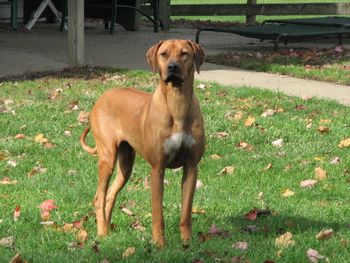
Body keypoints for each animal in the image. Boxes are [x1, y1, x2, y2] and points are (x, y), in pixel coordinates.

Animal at [80, 38, 205, 248]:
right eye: (164, 54)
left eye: (184, 53)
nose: (172, 67)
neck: (177, 103)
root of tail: (102, 97)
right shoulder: (157, 168)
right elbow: (157, 214)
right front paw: (159, 245)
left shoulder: (191, 167)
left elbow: (186, 213)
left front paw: (187, 243)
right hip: (107, 157)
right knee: (99, 197)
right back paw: (102, 232)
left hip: (126, 164)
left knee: (110, 195)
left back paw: (109, 230)